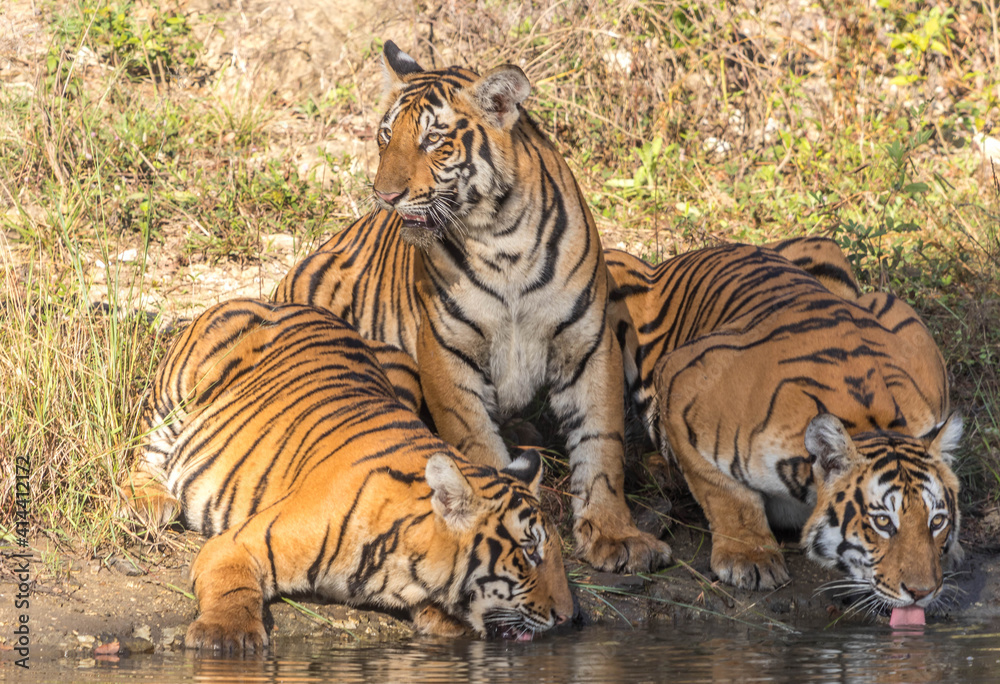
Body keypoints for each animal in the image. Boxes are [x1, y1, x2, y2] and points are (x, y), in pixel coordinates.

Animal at [125, 298, 574, 652]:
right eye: (529, 553)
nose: (570, 618)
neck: (404, 566)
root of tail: (276, 301)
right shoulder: (237, 544)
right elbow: (234, 587)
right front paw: (225, 637)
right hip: (178, 390)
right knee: (143, 449)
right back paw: (151, 502)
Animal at [273, 40, 671, 574]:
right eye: (385, 136)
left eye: (433, 141)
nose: (385, 196)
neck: (502, 239)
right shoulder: (447, 348)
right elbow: (476, 444)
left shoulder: (587, 343)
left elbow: (601, 444)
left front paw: (615, 534)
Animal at [606, 241, 962, 617]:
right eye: (882, 523)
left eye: (937, 521)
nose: (923, 591)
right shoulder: (682, 382)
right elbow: (724, 492)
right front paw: (750, 557)